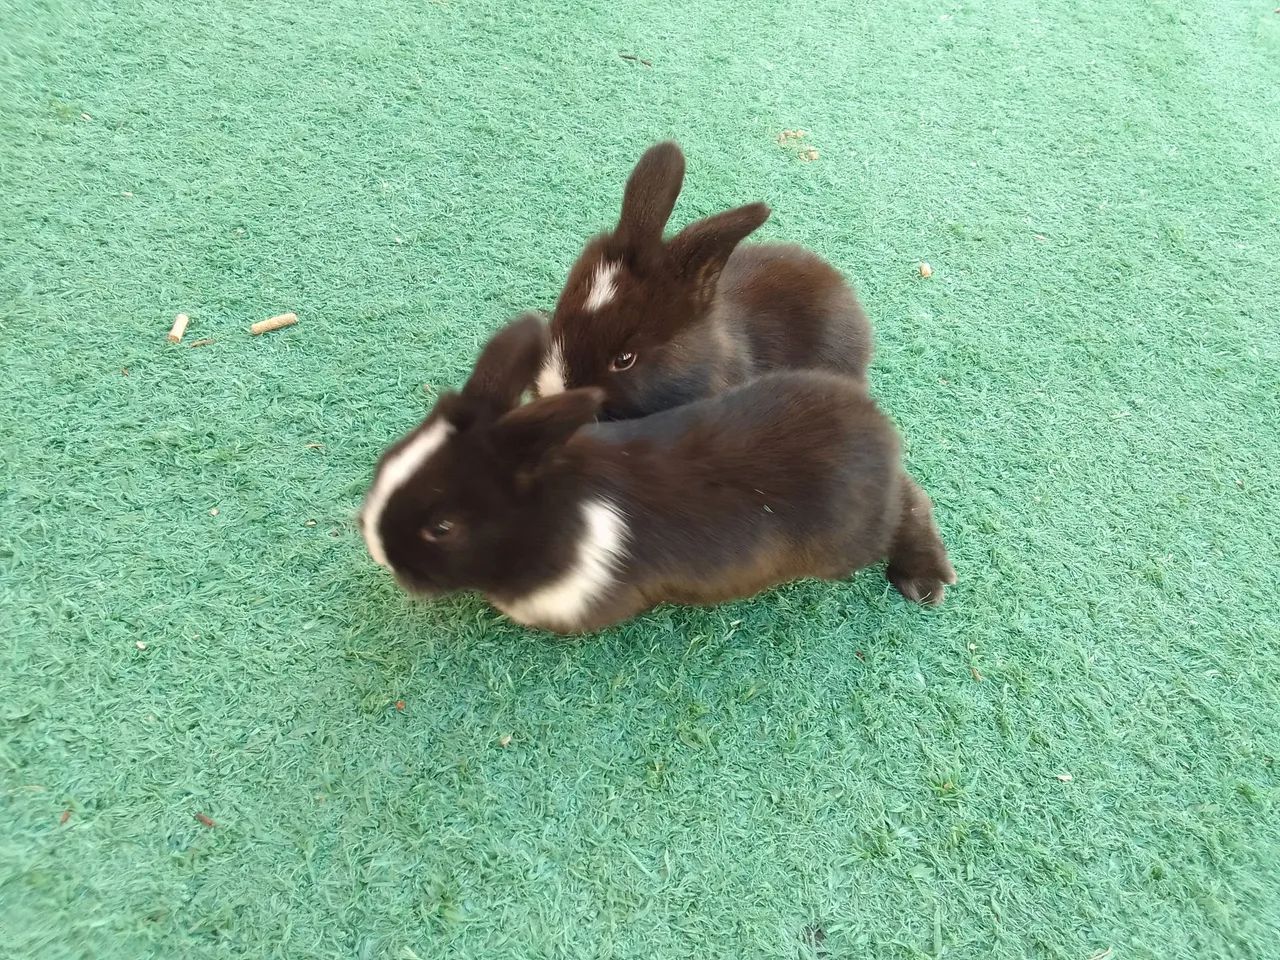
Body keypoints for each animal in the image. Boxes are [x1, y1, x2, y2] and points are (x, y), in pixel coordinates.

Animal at [361, 314, 955, 635]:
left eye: (442, 527)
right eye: (387, 461)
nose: (377, 549)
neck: (551, 513)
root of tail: (877, 428)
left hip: (848, 544)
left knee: (913, 511)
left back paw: (924, 583)